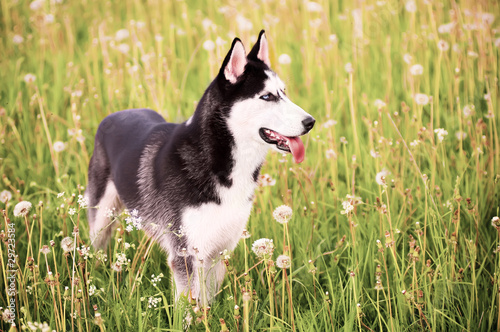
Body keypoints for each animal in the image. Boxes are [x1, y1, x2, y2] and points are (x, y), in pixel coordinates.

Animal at [85, 29, 312, 304]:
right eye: (267, 96)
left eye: (284, 92)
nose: (310, 122)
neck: (219, 162)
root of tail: (114, 115)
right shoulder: (186, 255)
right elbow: (189, 306)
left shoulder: (218, 251)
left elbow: (207, 302)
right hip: (101, 220)